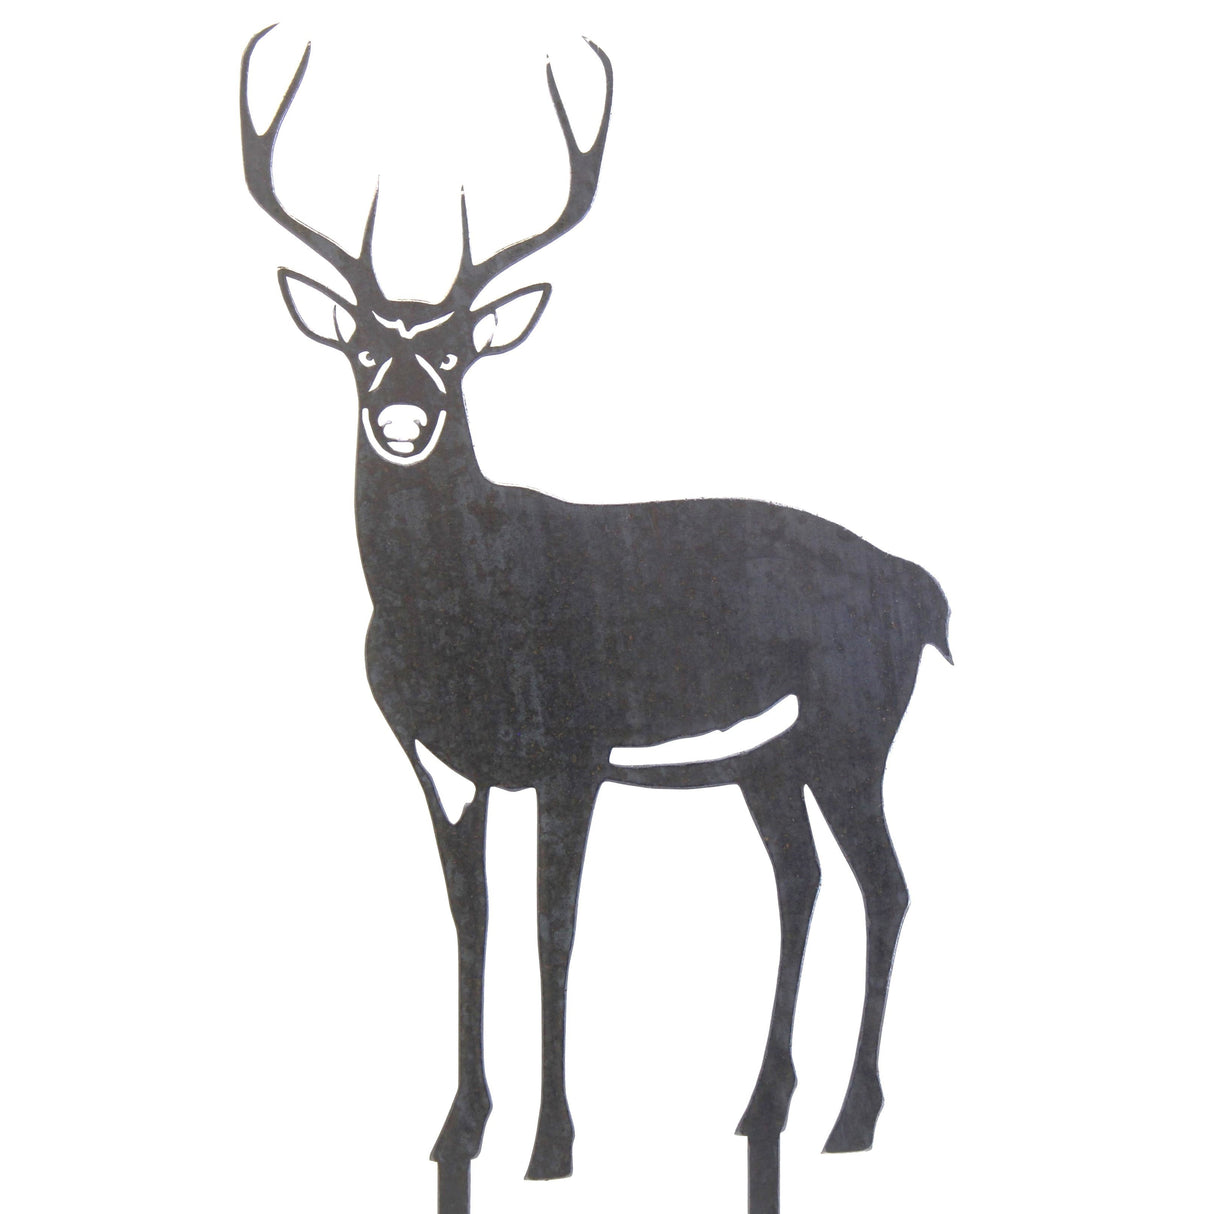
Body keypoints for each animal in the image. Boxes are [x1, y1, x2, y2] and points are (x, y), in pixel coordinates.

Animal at [241, 25, 950, 1214]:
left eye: (455, 351)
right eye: (362, 349)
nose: (401, 419)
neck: (458, 622)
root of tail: (918, 586)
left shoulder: (570, 752)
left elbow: (552, 929)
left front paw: (552, 1146)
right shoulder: (442, 765)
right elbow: (471, 920)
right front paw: (454, 1129)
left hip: (855, 735)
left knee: (887, 886)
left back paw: (850, 1122)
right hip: (771, 760)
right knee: (800, 880)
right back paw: (759, 1106)